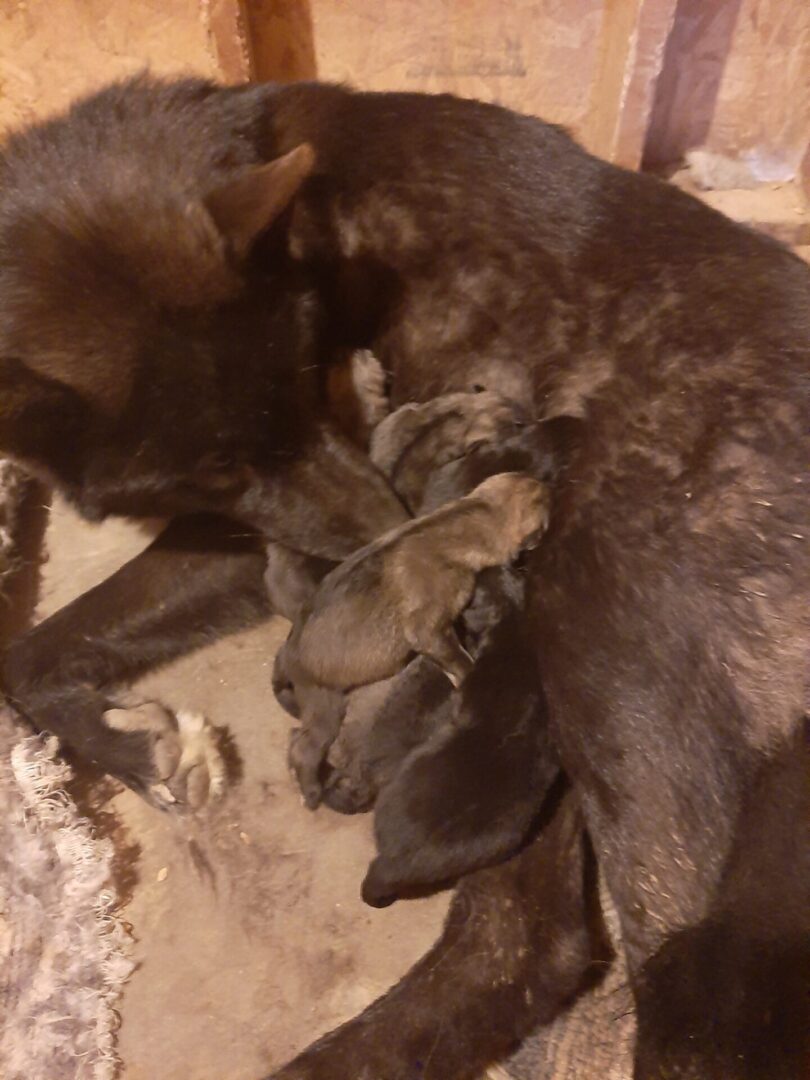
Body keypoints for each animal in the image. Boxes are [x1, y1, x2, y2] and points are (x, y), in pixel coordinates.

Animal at [1, 78, 810, 1080]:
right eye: (218, 467)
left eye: (307, 375)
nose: (388, 541)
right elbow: (30, 659)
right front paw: (131, 743)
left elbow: (25, 654)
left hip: (605, 644)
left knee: (545, 954)